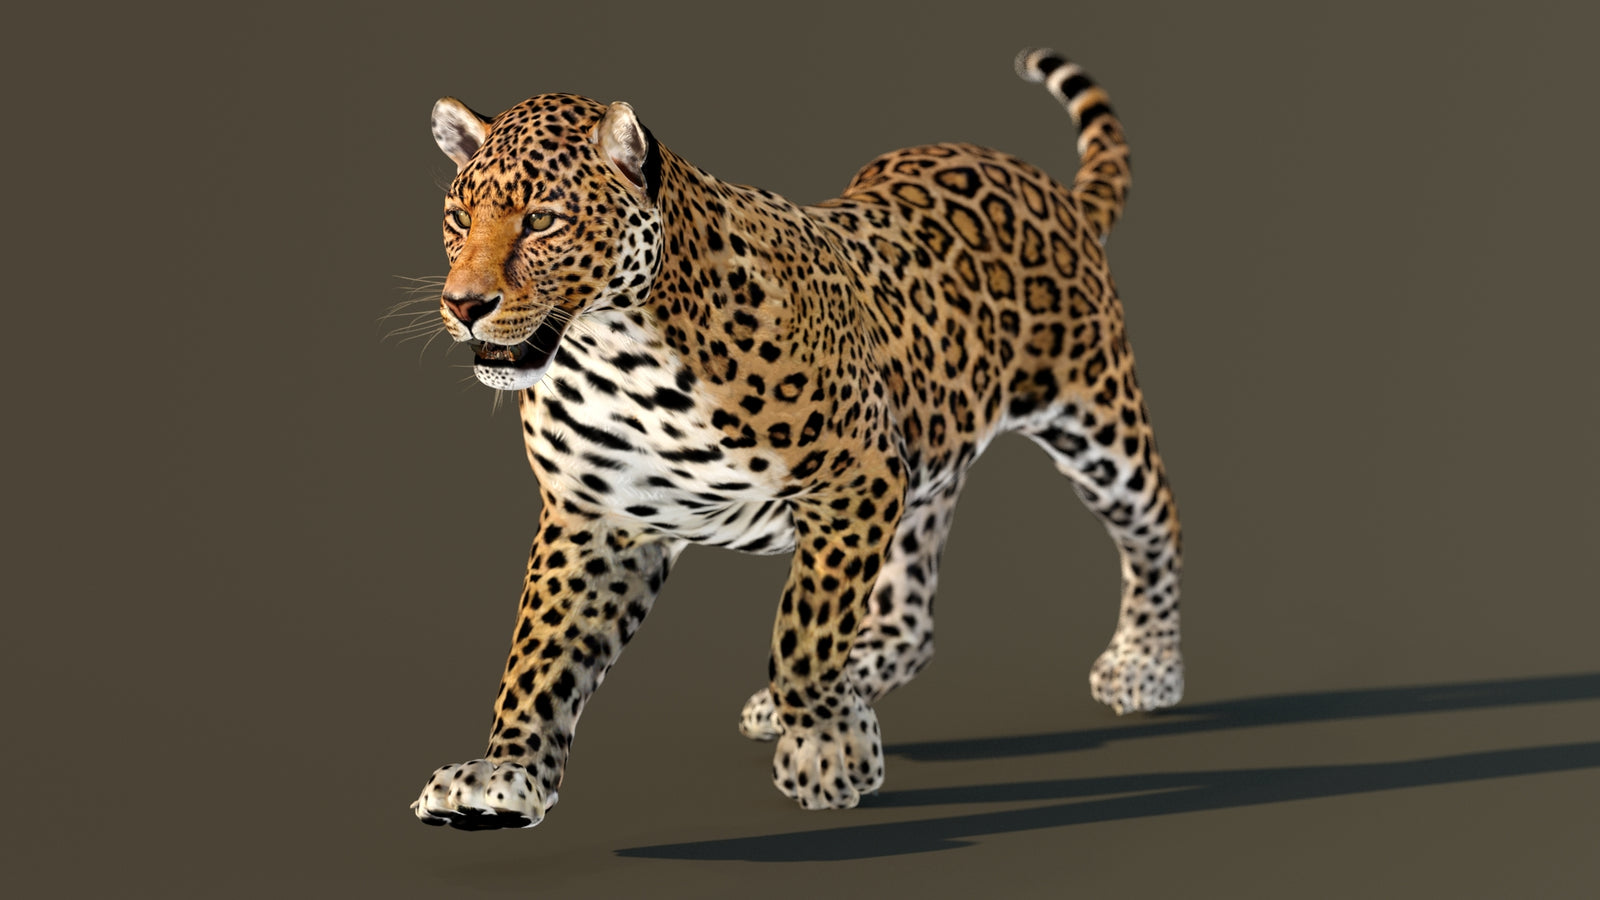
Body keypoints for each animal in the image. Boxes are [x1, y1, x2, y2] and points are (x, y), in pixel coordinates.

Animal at [407, 47, 1183, 830]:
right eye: (458, 218)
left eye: (542, 220)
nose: (463, 305)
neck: (616, 354)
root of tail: (1048, 186)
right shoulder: (597, 516)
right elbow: (540, 653)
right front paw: (505, 774)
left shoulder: (854, 481)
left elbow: (804, 635)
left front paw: (826, 752)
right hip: (926, 452)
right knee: (910, 615)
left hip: (1096, 419)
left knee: (1157, 528)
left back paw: (1145, 666)